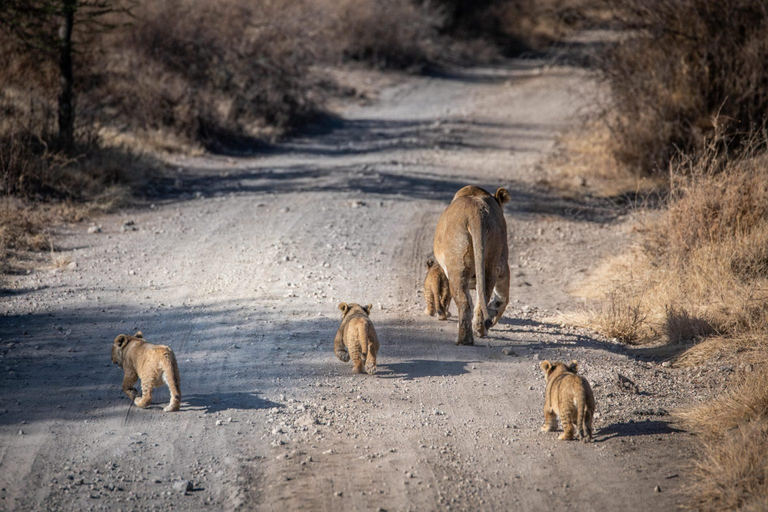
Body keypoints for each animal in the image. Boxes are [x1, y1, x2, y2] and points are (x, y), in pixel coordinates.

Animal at [432, 184, 510, 344]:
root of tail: (476, 213)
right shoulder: (501, 265)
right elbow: (501, 298)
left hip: (458, 264)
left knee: (464, 302)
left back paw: (464, 339)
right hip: (490, 264)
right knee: (483, 299)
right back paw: (479, 330)